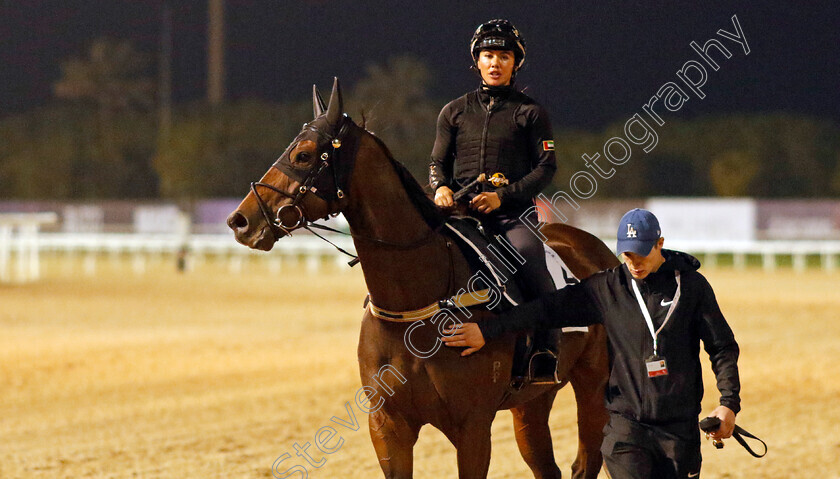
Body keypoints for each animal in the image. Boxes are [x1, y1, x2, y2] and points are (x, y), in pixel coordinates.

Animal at [226, 79, 620, 479]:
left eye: (304, 155)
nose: (240, 221)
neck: (415, 303)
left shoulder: (473, 425)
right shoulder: (388, 425)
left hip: (593, 388)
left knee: (586, 461)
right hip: (533, 401)